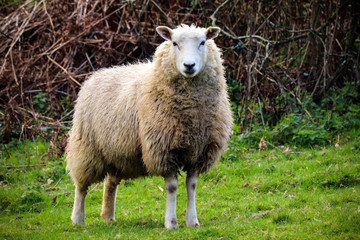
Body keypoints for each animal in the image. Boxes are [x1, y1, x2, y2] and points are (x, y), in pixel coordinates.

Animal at [65, 23, 233, 229]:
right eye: (174, 43)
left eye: (203, 42)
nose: (189, 66)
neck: (192, 114)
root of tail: (97, 74)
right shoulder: (163, 149)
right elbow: (172, 187)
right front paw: (171, 223)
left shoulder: (200, 151)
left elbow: (192, 185)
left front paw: (192, 221)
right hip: (87, 147)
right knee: (81, 185)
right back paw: (77, 218)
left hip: (116, 152)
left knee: (110, 182)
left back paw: (108, 215)